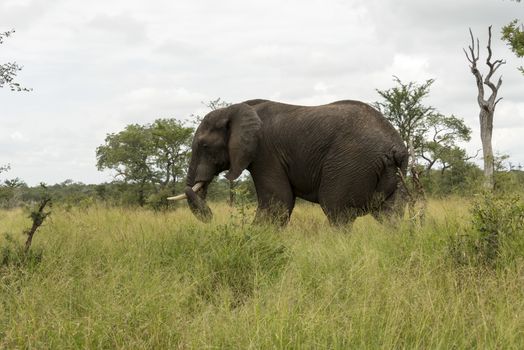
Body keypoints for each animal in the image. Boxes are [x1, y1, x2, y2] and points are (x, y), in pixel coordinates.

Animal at [169, 98, 410, 226]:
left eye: (204, 146)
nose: (211, 217)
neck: (236, 108)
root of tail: (394, 148)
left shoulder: (266, 152)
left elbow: (277, 203)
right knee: (390, 216)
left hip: (350, 163)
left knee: (337, 212)